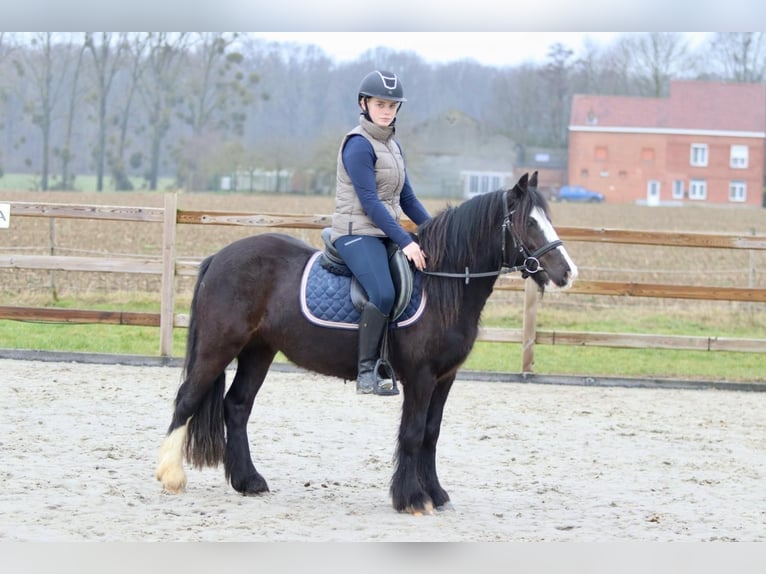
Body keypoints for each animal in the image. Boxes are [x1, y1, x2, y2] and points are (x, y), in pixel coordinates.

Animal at [158, 172, 576, 516]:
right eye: (529, 222)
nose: (568, 273)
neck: (442, 283)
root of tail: (220, 257)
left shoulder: (445, 378)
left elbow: (431, 433)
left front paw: (436, 494)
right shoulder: (421, 377)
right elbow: (412, 433)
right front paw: (412, 499)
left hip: (258, 351)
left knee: (237, 406)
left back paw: (249, 481)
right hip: (218, 346)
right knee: (187, 399)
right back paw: (170, 476)